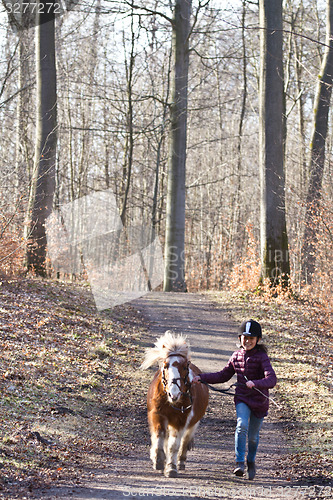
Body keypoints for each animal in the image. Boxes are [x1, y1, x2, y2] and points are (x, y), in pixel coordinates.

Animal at [139, 332, 208, 476]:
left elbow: (174, 444)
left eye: (185, 366)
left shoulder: (180, 420)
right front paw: (158, 460)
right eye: (165, 365)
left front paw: (171, 467)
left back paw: (180, 461)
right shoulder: (157, 415)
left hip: (193, 424)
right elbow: (159, 436)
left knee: (185, 440)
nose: (173, 394)